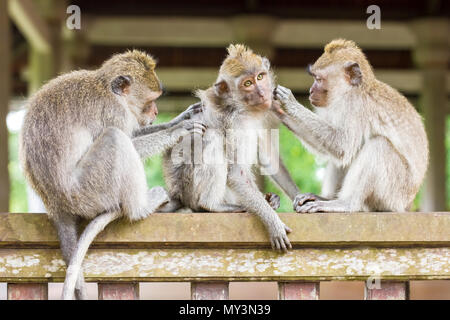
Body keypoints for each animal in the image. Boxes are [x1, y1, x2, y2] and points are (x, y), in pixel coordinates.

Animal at [160, 43, 300, 251]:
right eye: (247, 84)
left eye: (260, 77)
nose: (262, 93)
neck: (243, 108)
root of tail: (178, 195)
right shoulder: (235, 123)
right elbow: (236, 172)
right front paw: (272, 220)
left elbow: (267, 157)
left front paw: (301, 197)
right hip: (189, 188)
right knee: (213, 138)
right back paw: (212, 205)